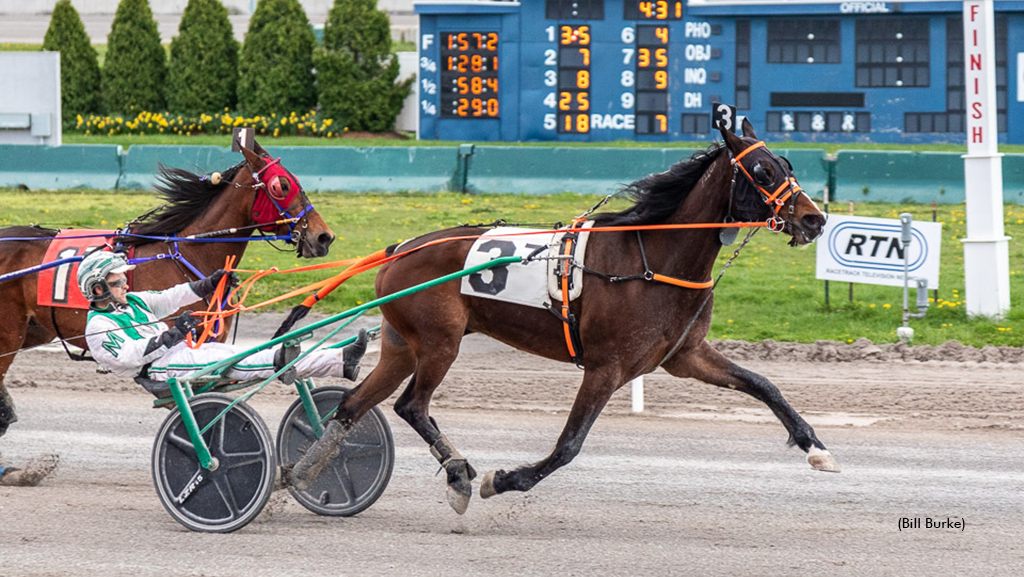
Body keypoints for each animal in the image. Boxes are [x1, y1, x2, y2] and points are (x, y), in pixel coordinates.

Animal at [292, 118, 835, 514]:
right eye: (763, 171)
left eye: (786, 163)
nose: (815, 219)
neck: (653, 258)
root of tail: (400, 247)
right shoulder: (607, 366)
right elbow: (569, 444)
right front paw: (504, 479)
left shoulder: (684, 355)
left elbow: (763, 384)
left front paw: (814, 446)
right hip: (441, 341)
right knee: (411, 406)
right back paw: (459, 474)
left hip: (404, 344)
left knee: (354, 405)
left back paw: (301, 472)